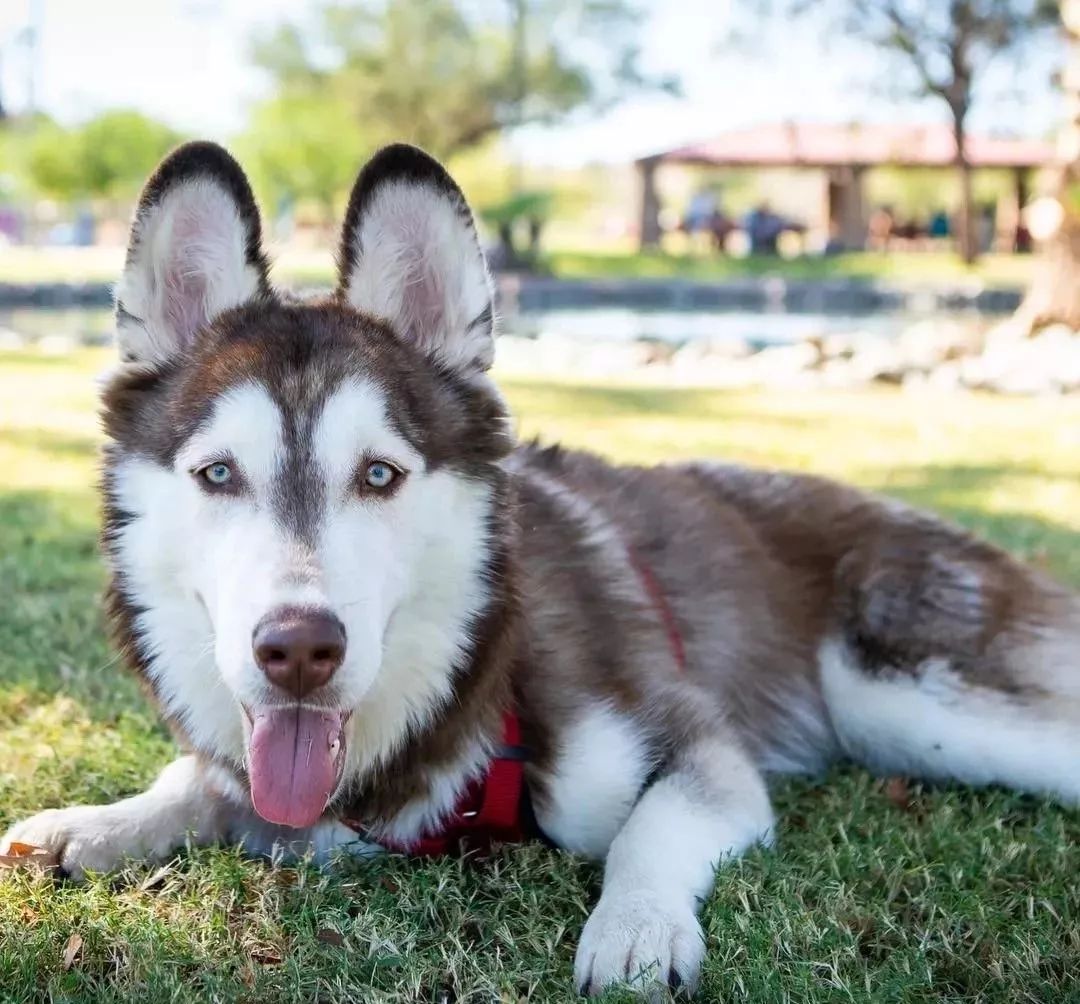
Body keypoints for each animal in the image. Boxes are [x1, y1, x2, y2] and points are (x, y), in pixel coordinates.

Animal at [2, 140, 1080, 993]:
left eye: (380, 473)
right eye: (218, 473)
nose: (297, 650)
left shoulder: (700, 745)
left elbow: (652, 827)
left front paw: (637, 925)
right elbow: (196, 780)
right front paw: (99, 819)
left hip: (910, 699)